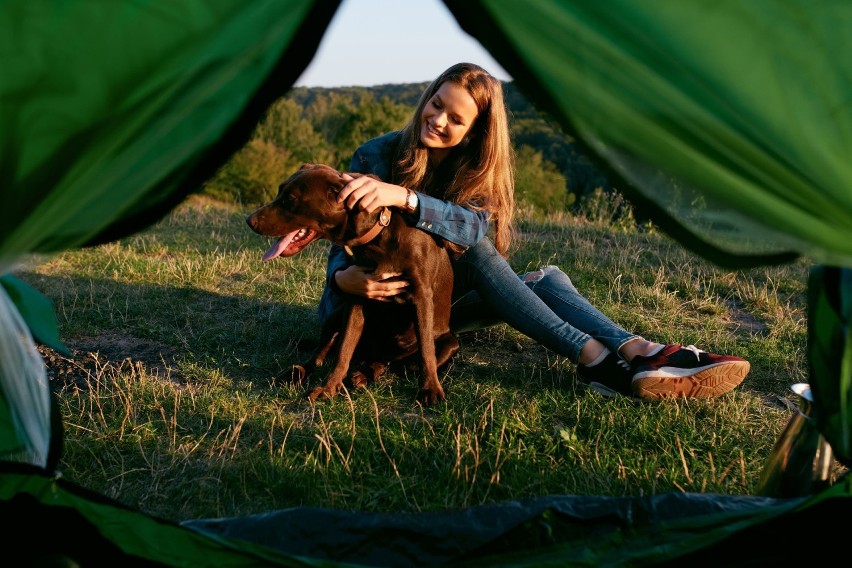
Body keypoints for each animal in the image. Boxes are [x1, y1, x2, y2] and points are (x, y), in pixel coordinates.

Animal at [246, 162, 460, 406]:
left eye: (290, 199)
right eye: (280, 191)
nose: (250, 220)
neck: (378, 237)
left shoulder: (421, 297)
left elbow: (426, 350)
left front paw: (431, 388)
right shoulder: (357, 294)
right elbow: (343, 349)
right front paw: (329, 388)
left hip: (449, 343)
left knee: (395, 361)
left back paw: (365, 374)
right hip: (335, 315)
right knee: (319, 355)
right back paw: (301, 371)